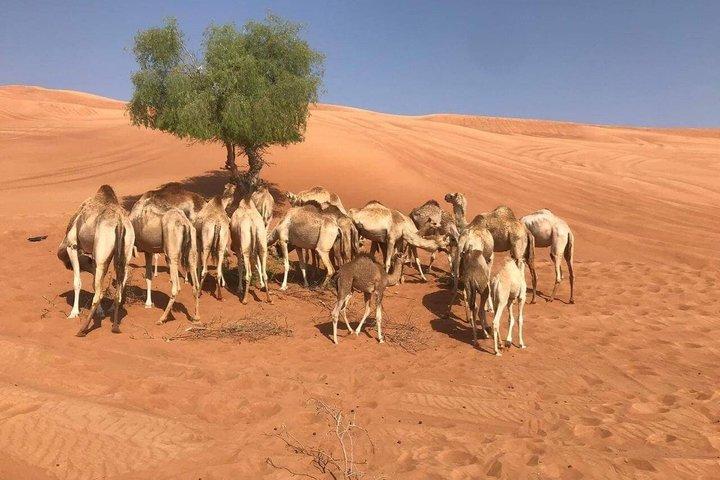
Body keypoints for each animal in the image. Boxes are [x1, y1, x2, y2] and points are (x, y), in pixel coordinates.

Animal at [58, 185, 135, 337]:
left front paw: (73, 313)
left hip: (102, 252)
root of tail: (119, 223)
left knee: (99, 292)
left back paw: (82, 329)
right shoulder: (95, 254)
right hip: (124, 251)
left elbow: (78, 283)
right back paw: (115, 326)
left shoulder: (73, 245)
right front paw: (101, 312)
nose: (67, 266)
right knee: (119, 283)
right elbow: (94, 283)